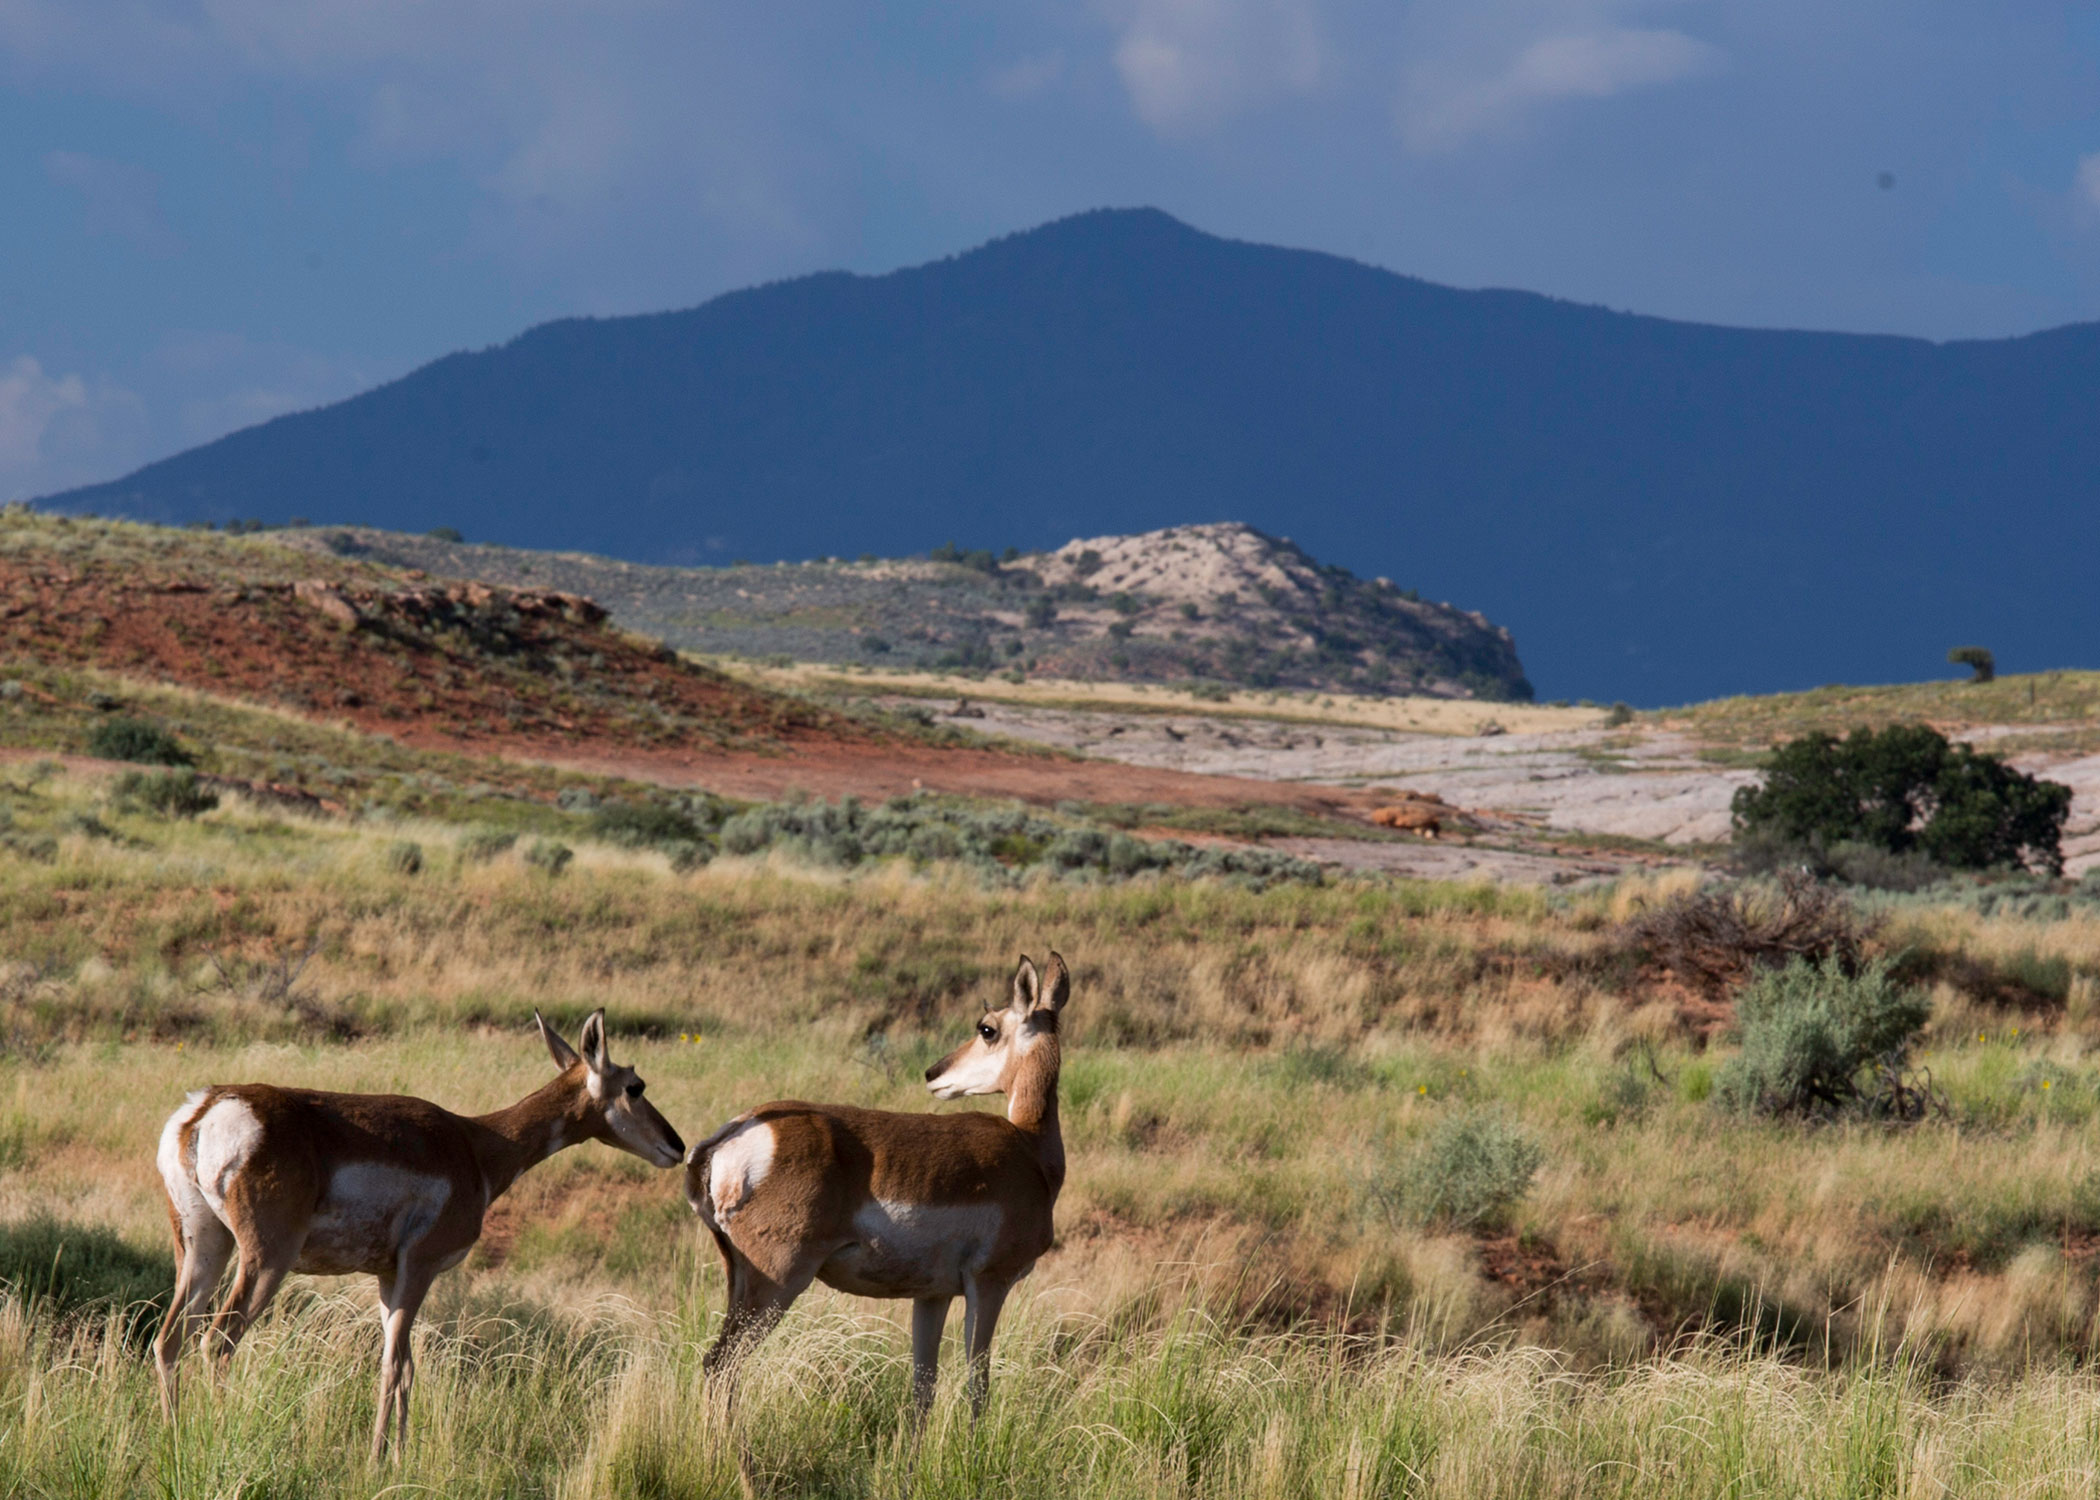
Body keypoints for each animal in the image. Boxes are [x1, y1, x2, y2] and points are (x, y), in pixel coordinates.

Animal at [152, 1010, 685, 1459]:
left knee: (170, 1339)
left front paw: (399, 1457)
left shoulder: (389, 1279)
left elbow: (406, 1366)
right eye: (635, 1086)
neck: (476, 1145)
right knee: (218, 1340)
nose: (677, 1146)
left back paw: (175, 1441)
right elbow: (392, 1366)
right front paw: (376, 1462)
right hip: (266, 1260)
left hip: (204, 1250)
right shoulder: (419, 1269)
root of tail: (206, 1109)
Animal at [685, 951, 1071, 1421]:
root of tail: (739, 1129)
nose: (932, 1073)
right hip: (778, 1284)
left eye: (987, 1028)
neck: (1029, 1148)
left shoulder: (933, 1297)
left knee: (717, 1363)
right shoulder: (988, 1285)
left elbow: (923, 1389)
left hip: (740, 1282)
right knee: (722, 1364)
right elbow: (977, 1388)